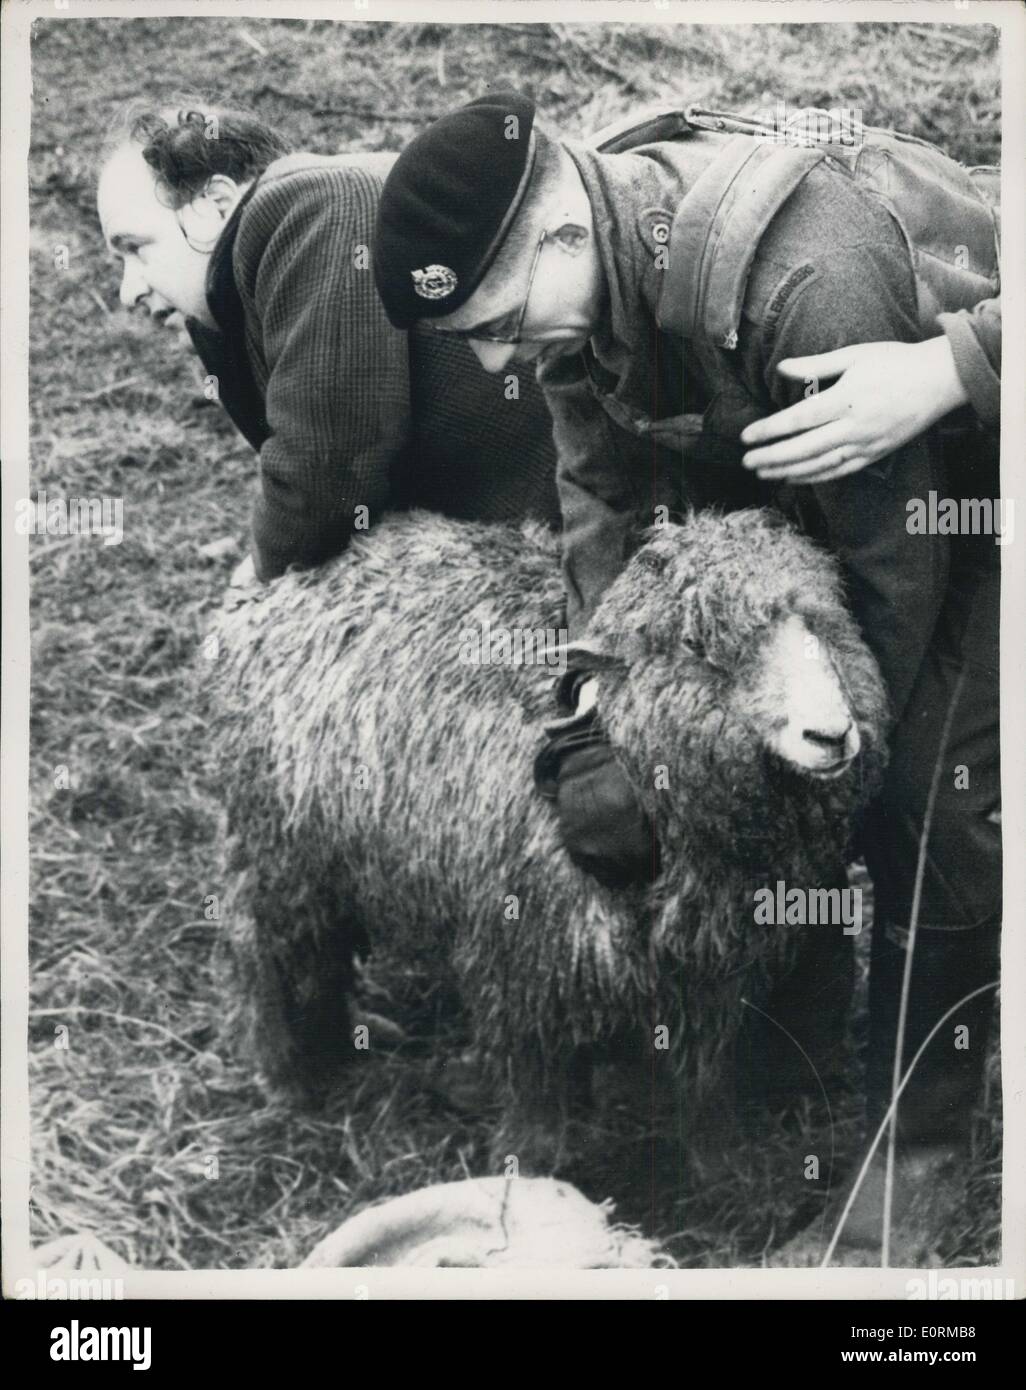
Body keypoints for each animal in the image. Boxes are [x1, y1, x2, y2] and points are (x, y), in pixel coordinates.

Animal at [209, 505, 889, 1167]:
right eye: (695, 642)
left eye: (821, 621)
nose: (831, 735)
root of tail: (265, 572)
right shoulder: (524, 955)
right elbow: (533, 1085)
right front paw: (529, 1172)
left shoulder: (713, 963)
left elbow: (707, 1073)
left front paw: (723, 1164)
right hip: (278, 847)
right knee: (261, 949)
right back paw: (285, 1073)